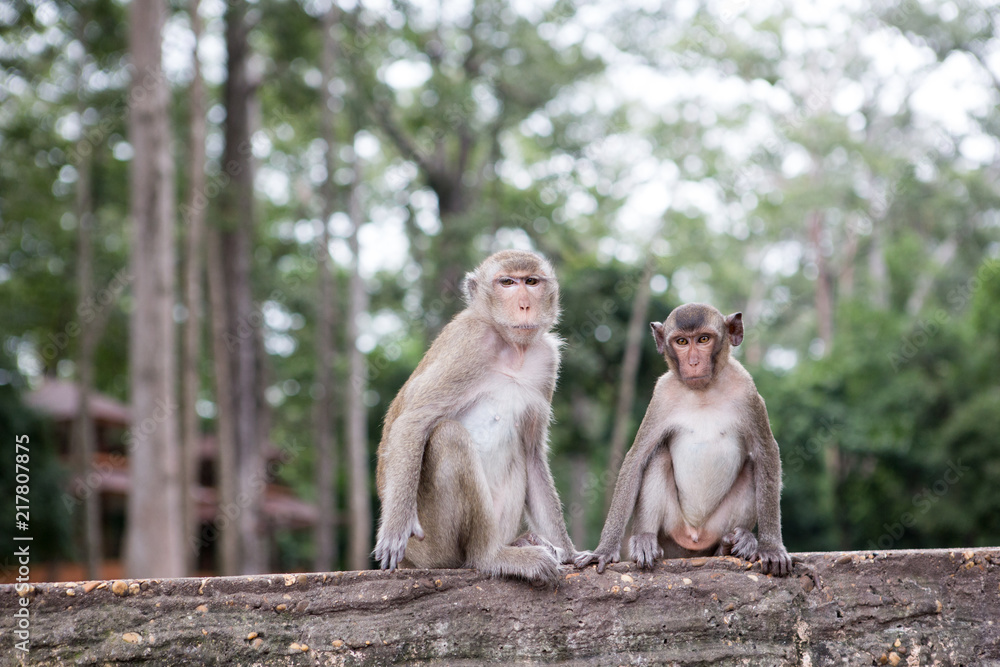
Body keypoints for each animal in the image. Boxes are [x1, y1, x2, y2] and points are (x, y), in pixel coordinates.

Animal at [373, 249, 581, 584]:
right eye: (507, 283)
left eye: (531, 282)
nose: (524, 305)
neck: (512, 349)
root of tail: (411, 563)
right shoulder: (468, 344)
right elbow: (412, 421)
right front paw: (395, 528)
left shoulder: (547, 359)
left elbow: (532, 453)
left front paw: (573, 554)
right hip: (431, 547)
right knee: (449, 436)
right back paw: (492, 556)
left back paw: (521, 542)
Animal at [575, 302, 793, 576]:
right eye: (681, 341)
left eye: (703, 339)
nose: (693, 362)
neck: (704, 391)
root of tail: (694, 539)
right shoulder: (662, 395)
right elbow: (636, 458)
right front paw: (603, 550)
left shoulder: (747, 390)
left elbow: (766, 454)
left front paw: (771, 547)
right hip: (673, 530)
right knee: (657, 456)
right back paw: (645, 540)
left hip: (715, 528)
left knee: (753, 467)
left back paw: (736, 543)